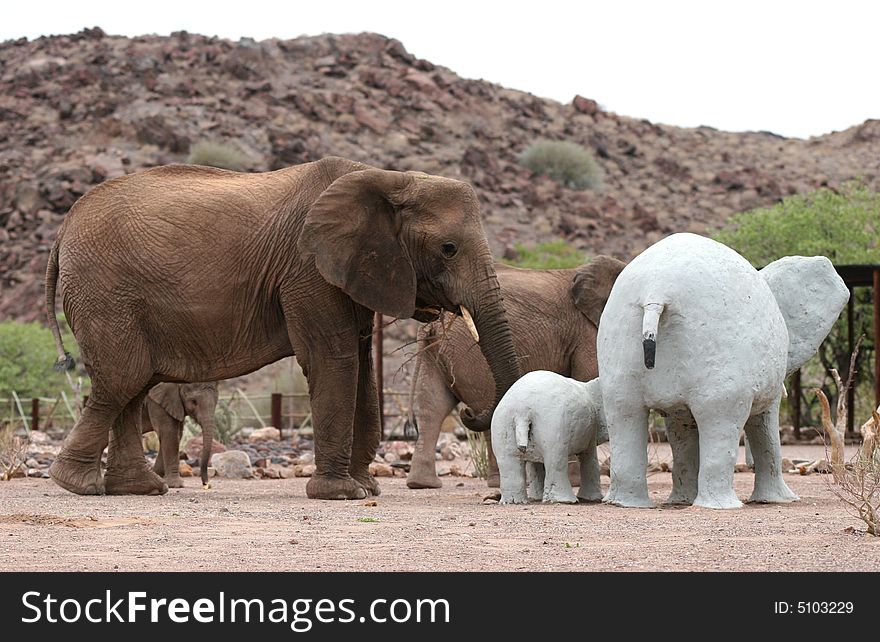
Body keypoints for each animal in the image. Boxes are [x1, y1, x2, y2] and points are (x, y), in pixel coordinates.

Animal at [44, 155, 520, 500]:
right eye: (448, 248)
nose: (469, 413)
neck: (389, 179)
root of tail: (63, 229)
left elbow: (362, 368)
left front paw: (367, 489)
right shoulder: (307, 269)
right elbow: (334, 359)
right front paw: (340, 494)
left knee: (133, 384)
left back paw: (137, 490)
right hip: (105, 294)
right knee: (123, 378)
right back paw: (78, 485)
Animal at [408, 254, 624, 484]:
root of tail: (431, 326)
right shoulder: (586, 332)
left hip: (436, 353)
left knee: (432, 405)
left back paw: (422, 483)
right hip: (471, 355)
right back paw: (497, 482)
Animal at [492, 372, 608, 502]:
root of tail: (521, 410)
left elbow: (534, 465)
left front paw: (536, 498)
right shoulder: (592, 428)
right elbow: (589, 457)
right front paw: (592, 499)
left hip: (502, 423)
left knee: (507, 462)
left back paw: (514, 502)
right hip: (554, 425)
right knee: (555, 460)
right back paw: (566, 501)